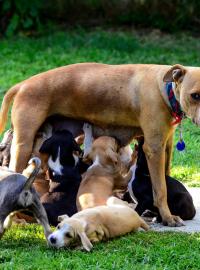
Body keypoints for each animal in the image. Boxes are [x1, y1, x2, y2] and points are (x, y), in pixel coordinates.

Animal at [0, 62, 199, 226]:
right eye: (195, 95)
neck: (164, 89)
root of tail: (22, 84)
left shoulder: (166, 146)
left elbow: (164, 179)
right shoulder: (154, 149)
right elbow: (160, 189)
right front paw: (167, 217)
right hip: (23, 145)